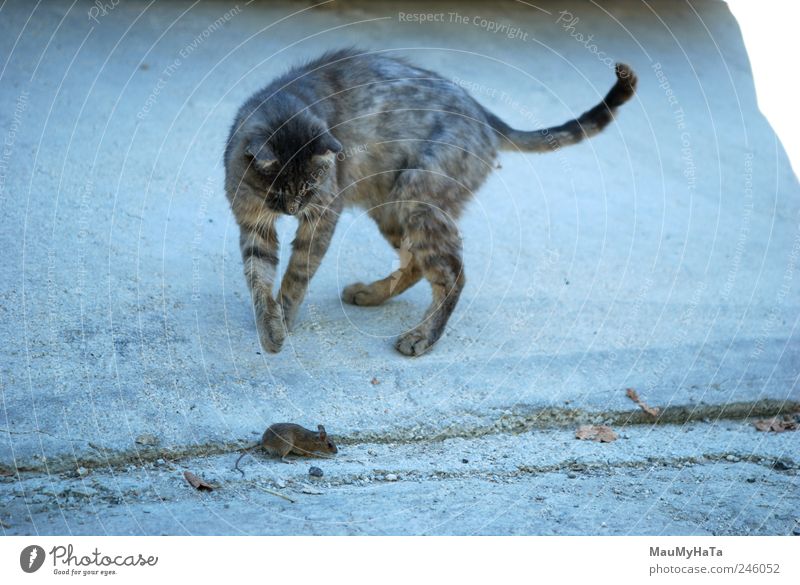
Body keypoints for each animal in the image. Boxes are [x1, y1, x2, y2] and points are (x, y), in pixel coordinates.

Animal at [225, 48, 636, 354]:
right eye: (279, 190)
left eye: (310, 185)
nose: (293, 209)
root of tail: (487, 117)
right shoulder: (253, 223)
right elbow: (258, 277)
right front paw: (269, 325)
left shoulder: (323, 213)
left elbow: (297, 272)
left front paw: (284, 318)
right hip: (392, 207)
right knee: (417, 265)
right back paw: (372, 294)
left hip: (418, 196)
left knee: (452, 272)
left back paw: (421, 336)